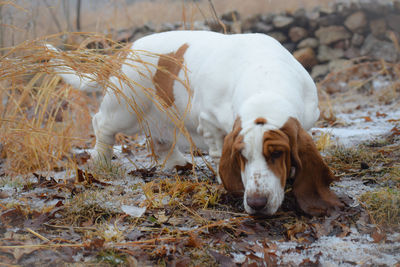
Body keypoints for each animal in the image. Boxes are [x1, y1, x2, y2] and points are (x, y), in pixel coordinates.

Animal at [46, 30, 340, 217]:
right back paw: (102, 160)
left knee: (160, 139)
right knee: (102, 125)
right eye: (241, 156)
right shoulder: (210, 123)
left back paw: (178, 164)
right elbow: (219, 151)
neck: (266, 81)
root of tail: (126, 50)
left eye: (278, 153)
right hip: (125, 109)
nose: (256, 203)